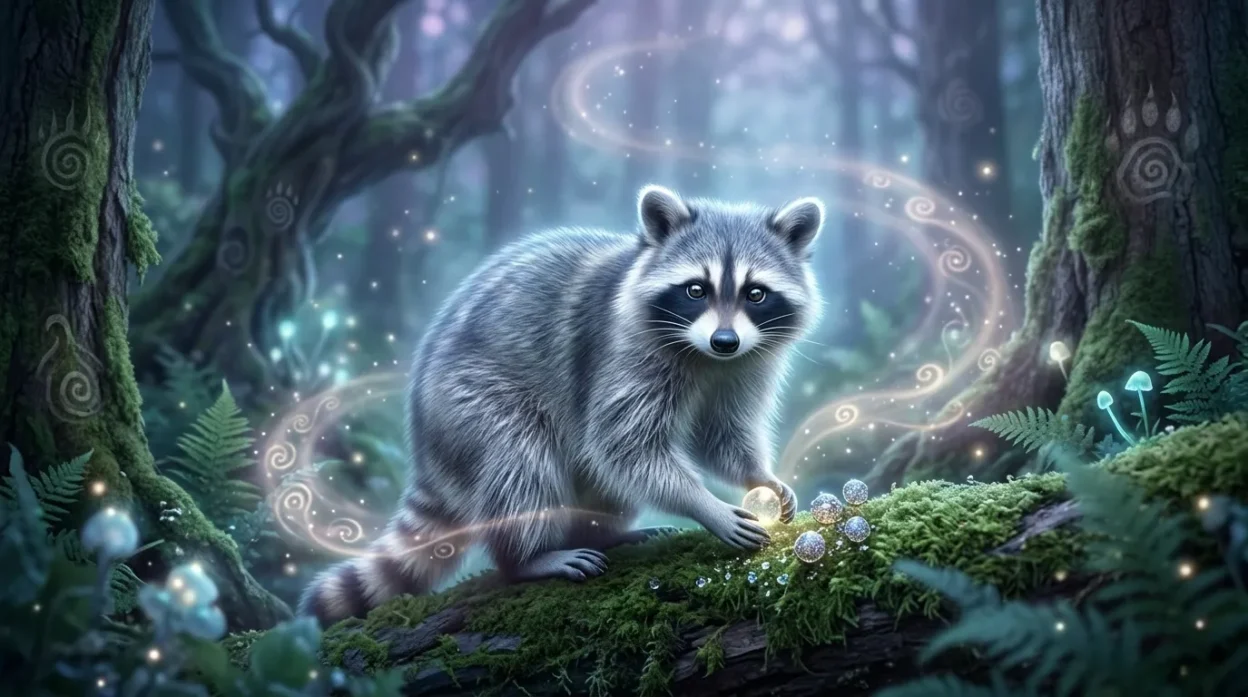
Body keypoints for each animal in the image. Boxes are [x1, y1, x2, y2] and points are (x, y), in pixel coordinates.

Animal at [299, 185, 824, 625]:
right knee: (520, 460)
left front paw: (758, 475)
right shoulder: (623, 351)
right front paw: (705, 505)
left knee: (597, 484)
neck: (705, 356)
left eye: (755, 293)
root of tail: (425, 441)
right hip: (469, 401)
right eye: (696, 289)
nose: (724, 340)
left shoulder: (745, 364)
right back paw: (526, 558)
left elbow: (720, 434)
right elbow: (622, 445)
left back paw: (603, 532)